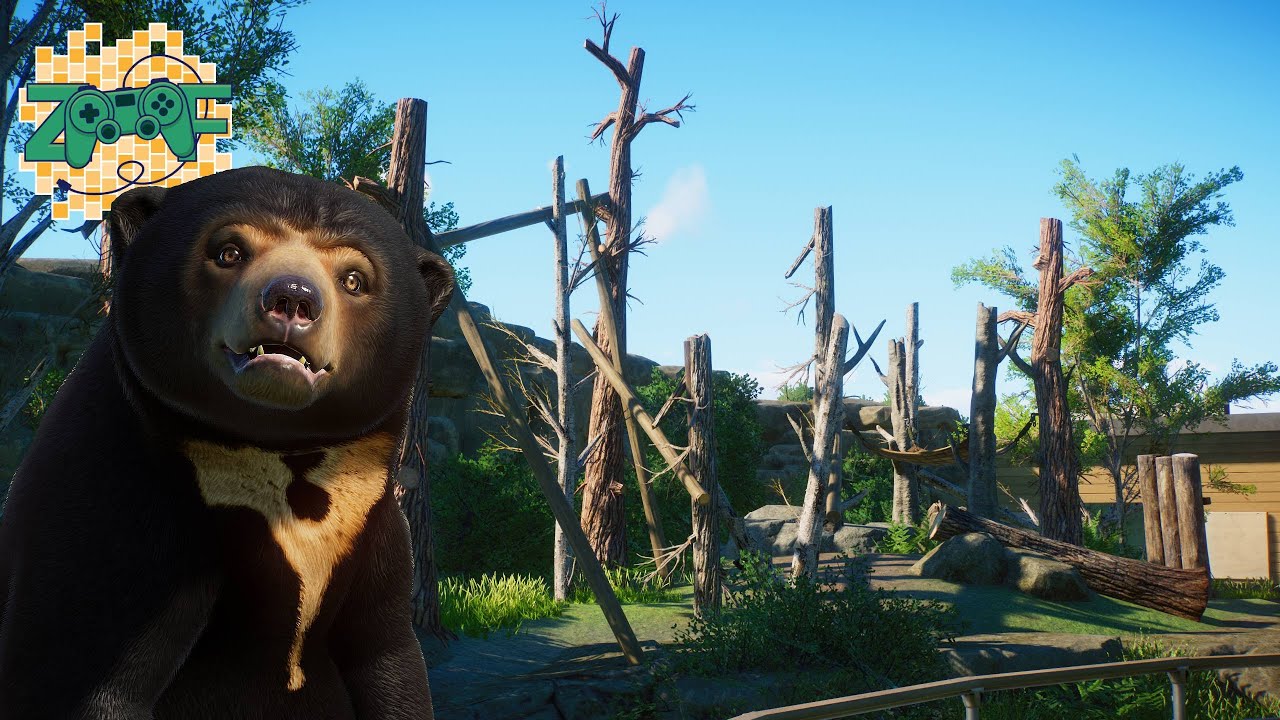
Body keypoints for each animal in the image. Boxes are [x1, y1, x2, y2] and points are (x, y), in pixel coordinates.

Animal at [0, 166, 454, 719]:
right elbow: (81, 669)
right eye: (229, 252)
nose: (293, 299)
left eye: (354, 279)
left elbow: (388, 658)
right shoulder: (107, 501)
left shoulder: (373, 528)